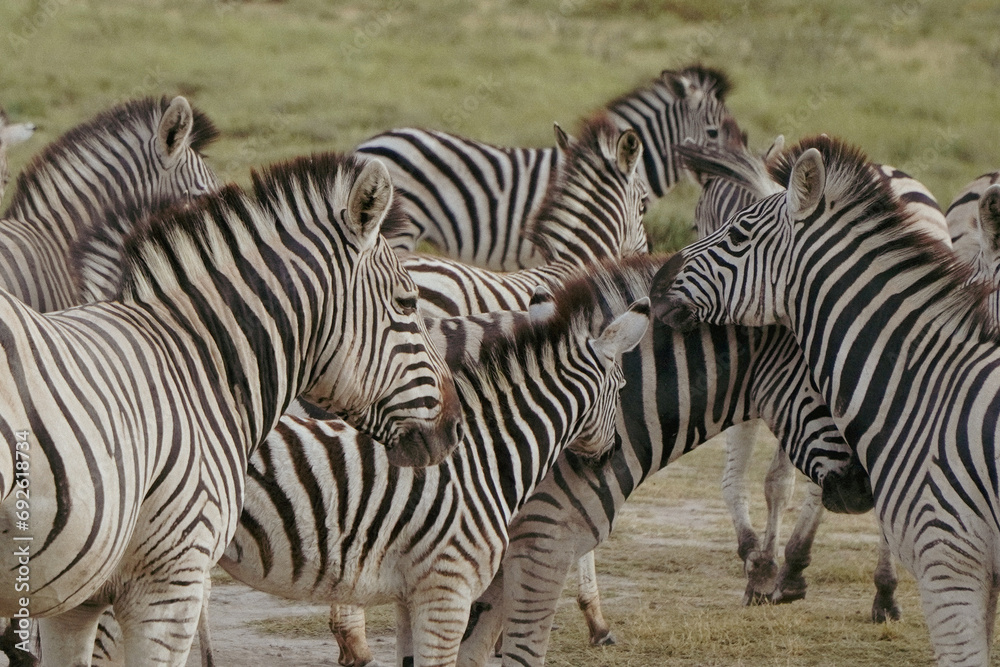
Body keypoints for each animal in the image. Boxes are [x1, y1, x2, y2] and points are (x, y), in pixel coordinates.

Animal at [650, 134, 1000, 666]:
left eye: (736, 235)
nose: (655, 284)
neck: (926, 382)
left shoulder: (952, 562)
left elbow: (756, 480)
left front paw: (762, 568)